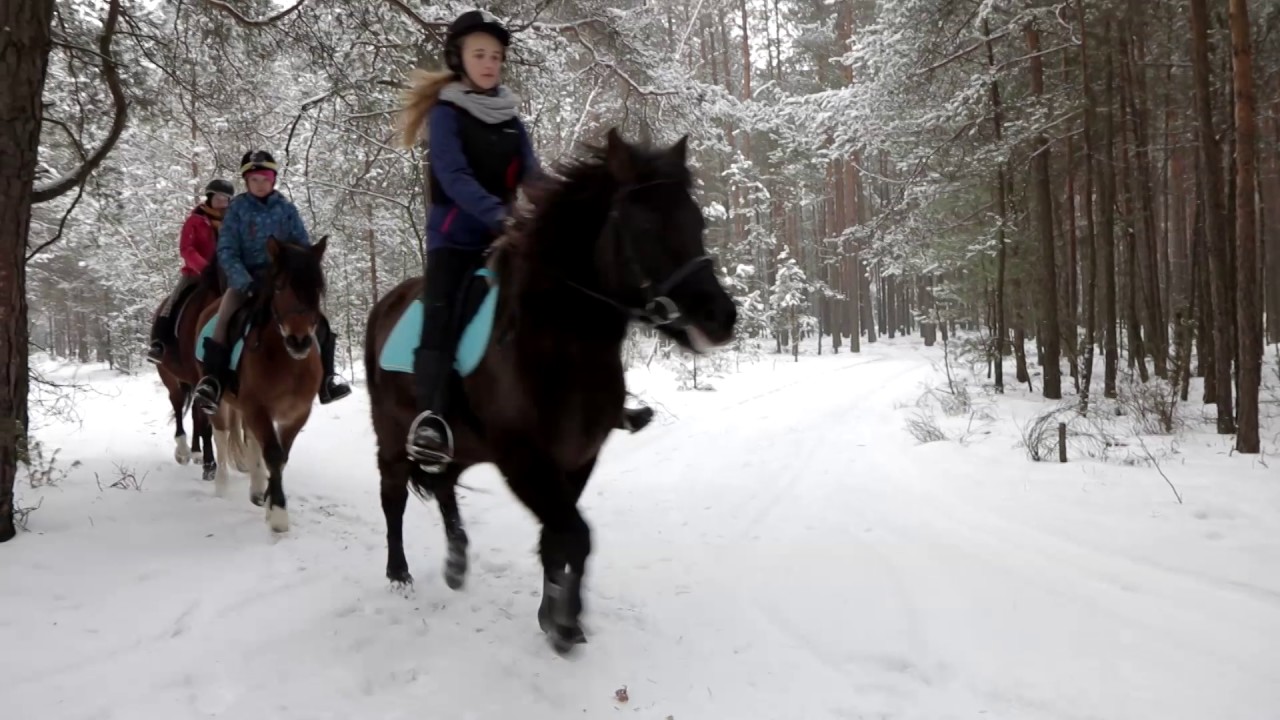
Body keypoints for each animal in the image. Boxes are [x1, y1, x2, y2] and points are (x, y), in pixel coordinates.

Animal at [366, 127, 737, 650]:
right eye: (644, 226)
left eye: (697, 220)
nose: (720, 317)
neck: (560, 344)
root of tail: (386, 304)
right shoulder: (525, 461)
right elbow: (574, 534)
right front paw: (564, 623)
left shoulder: (578, 457)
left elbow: (557, 536)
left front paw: (555, 615)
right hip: (393, 438)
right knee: (394, 498)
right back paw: (399, 573)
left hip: (462, 444)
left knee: (444, 487)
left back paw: (457, 563)